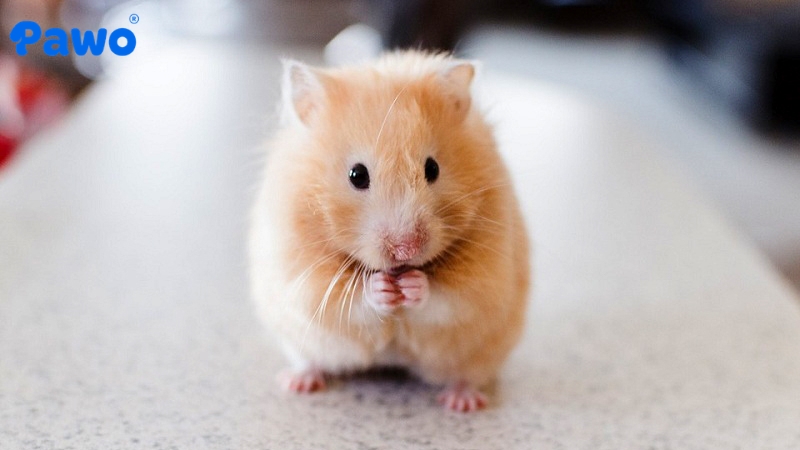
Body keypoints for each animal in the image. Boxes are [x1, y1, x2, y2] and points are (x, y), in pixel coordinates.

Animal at [248, 51, 530, 412]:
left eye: (432, 169)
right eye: (357, 175)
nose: (406, 249)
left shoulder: (485, 278)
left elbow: (448, 298)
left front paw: (412, 286)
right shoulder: (303, 276)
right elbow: (348, 300)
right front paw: (382, 288)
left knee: (467, 375)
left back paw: (462, 402)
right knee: (310, 360)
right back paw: (297, 382)